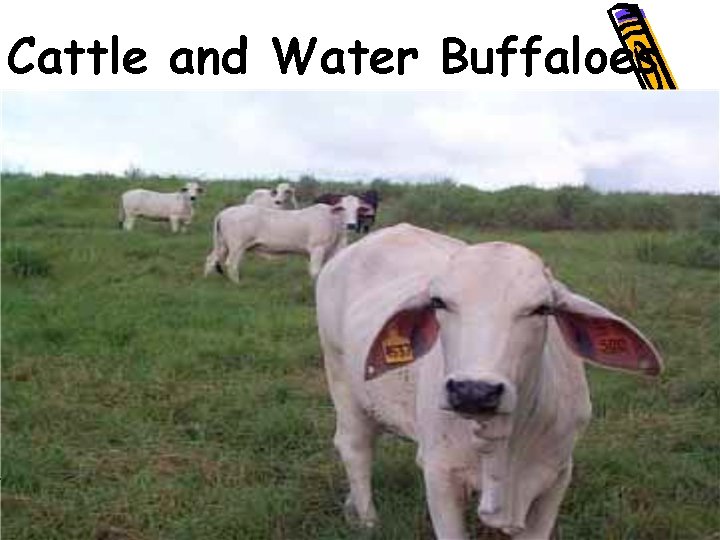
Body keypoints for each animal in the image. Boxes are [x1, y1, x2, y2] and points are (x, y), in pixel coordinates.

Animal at [203, 196, 365, 282]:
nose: (351, 225)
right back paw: (237, 284)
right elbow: (315, 272)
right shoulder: (317, 249)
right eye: (342, 208)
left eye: (358, 209)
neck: (333, 222)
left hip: (223, 244)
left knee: (211, 259)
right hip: (237, 246)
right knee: (231, 264)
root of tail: (226, 212)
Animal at [315, 223, 663, 540]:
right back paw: (367, 520)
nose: (473, 391)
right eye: (439, 302)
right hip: (339, 376)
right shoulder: (440, 475)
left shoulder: (557, 476)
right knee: (355, 447)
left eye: (542, 309)